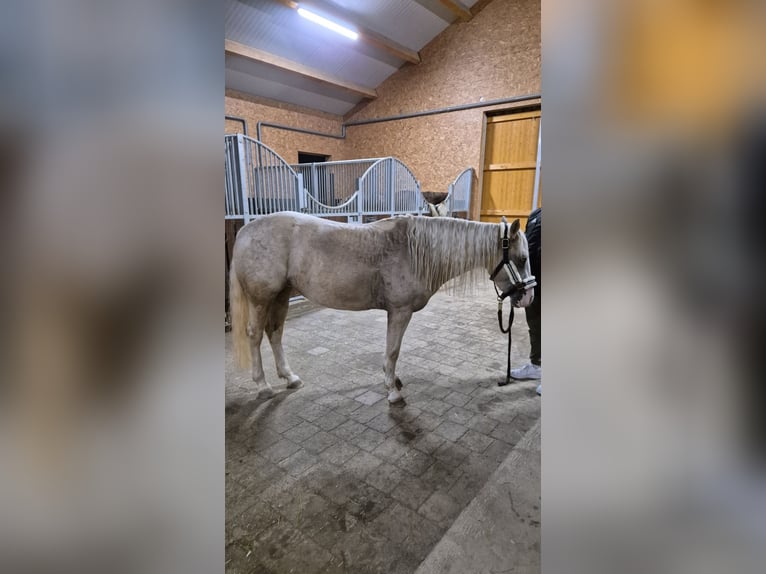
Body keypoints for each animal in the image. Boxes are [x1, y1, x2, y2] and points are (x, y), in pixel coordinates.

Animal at [231, 212, 536, 404]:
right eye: (521, 259)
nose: (528, 298)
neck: (415, 251)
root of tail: (245, 231)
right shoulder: (399, 311)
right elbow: (393, 351)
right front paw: (393, 391)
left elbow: (392, 351)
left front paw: (394, 381)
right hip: (261, 299)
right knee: (255, 336)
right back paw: (263, 386)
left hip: (281, 296)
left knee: (275, 333)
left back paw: (290, 378)